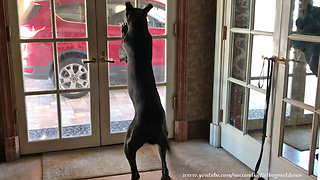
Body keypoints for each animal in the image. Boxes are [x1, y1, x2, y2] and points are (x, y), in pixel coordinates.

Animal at [119, 1, 171, 180]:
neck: (140, 30)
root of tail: (153, 126)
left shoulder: (123, 51)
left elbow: (122, 42)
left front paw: (124, 28)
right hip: (162, 142)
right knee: (165, 167)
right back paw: (165, 175)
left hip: (129, 142)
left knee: (135, 172)